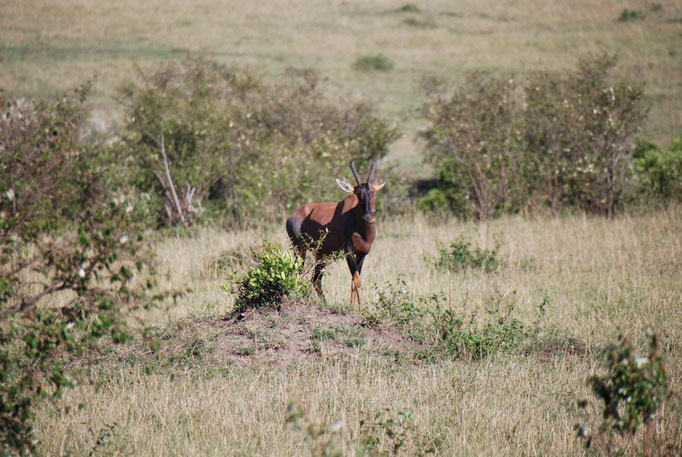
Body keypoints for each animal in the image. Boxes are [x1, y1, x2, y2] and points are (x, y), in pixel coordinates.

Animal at [284, 161, 386, 306]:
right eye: (357, 194)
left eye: (372, 192)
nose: (368, 218)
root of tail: (291, 216)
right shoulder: (348, 250)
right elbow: (357, 280)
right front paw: (360, 308)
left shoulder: (363, 252)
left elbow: (353, 280)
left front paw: (353, 306)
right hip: (299, 249)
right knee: (299, 273)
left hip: (322, 254)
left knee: (315, 278)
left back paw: (324, 303)